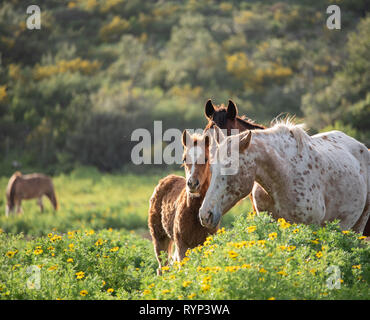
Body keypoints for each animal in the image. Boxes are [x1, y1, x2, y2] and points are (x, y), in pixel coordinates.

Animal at [147, 129, 217, 274]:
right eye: (185, 159)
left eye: (206, 159)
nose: (192, 184)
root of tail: (166, 179)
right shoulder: (182, 246)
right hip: (159, 238)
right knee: (163, 268)